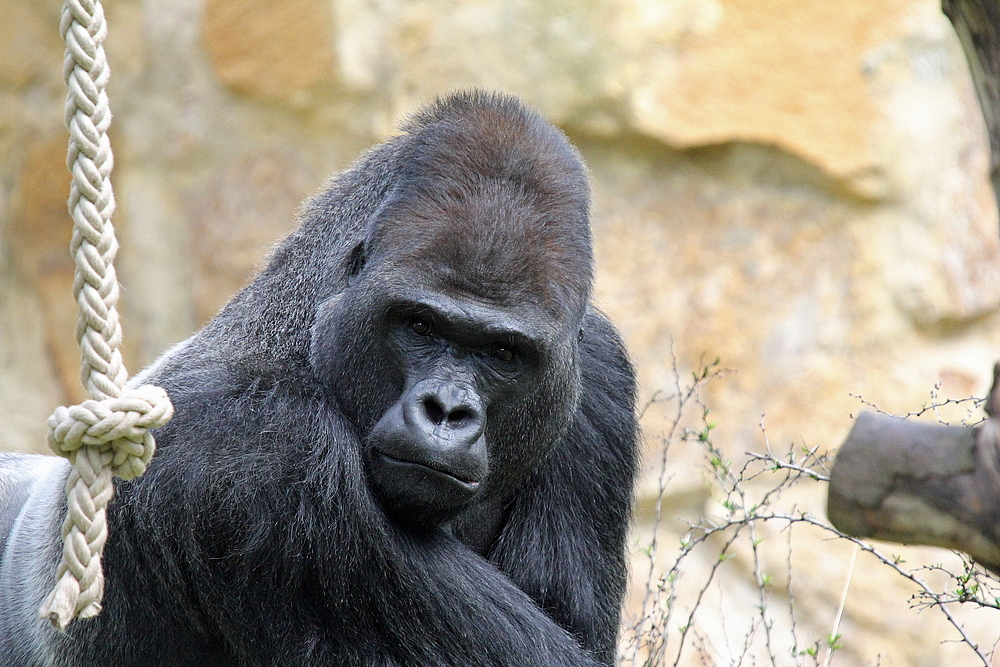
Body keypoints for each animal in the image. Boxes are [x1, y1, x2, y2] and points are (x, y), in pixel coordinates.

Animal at [0, 92, 636, 667]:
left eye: (504, 353)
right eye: (419, 325)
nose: (447, 412)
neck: (303, 328)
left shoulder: (599, 377)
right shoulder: (263, 455)